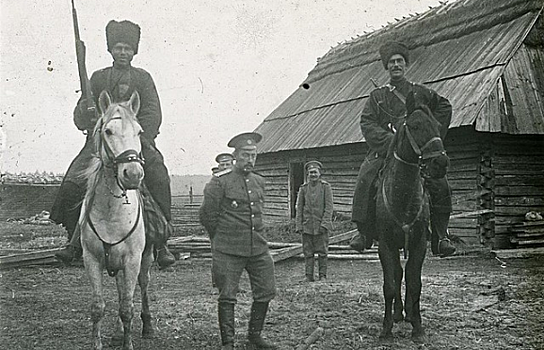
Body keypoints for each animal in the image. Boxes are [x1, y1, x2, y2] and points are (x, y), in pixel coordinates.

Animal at [376, 92, 448, 342]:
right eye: (415, 125)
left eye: (437, 125)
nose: (440, 163)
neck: (403, 197)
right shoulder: (385, 244)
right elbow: (390, 284)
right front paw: (386, 328)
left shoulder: (419, 244)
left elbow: (415, 283)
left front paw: (417, 326)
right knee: (398, 275)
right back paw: (399, 313)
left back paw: (407, 313)